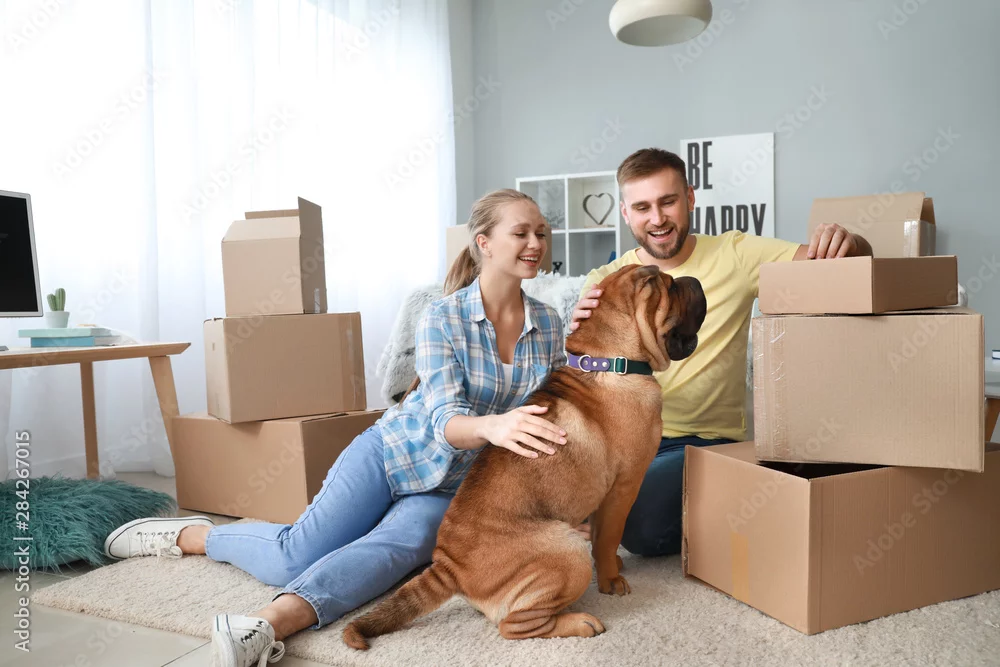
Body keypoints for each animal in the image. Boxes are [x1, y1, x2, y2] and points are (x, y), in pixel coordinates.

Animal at [344, 264, 706, 647]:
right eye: (671, 286)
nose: (692, 280)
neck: (610, 362)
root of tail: (449, 566)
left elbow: (602, 534)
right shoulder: (623, 487)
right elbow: (609, 537)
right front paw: (611, 580)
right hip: (569, 551)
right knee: (515, 626)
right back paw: (581, 622)